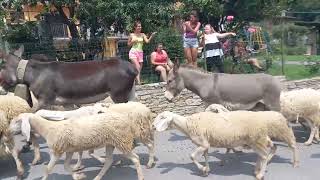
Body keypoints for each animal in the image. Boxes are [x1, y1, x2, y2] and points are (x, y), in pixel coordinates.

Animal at [9, 112, 146, 180]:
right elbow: (65, 166)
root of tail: (127, 120)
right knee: (108, 161)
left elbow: (48, 169)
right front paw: (78, 176)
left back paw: (141, 177)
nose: (8, 130)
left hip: (122, 141)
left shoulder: (57, 151)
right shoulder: (68, 150)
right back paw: (97, 177)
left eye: (17, 121)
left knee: (135, 158)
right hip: (111, 143)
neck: (48, 129)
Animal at [152, 110, 298, 179]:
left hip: (258, 138)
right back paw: (257, 169)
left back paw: (261, 174)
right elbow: (206, 156)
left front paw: (202, 169)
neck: (187, 124)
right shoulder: (206, 144)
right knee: (264, 154)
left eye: (162, 117)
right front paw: (206, 170)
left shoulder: (202, 143)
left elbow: (192, 156)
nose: (152, 126)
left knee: (265, 154)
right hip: (255, 140)